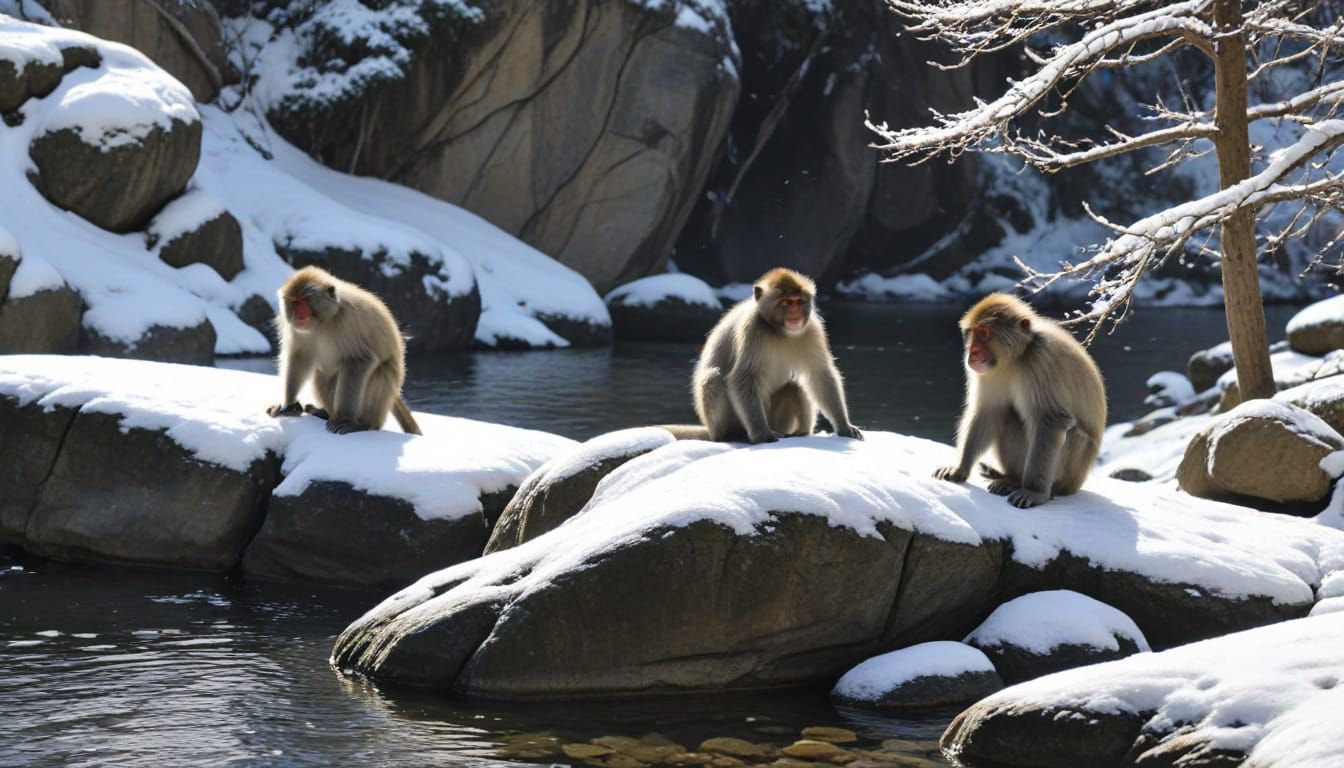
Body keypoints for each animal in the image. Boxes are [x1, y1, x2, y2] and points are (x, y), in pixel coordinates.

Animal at [266, 266, 422, 436]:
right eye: (294, 302)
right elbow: (300, 356)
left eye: (304, 302)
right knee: (321, 374)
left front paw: (345, 419)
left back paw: (364, 424)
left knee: (381, 372)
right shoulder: (298, 329)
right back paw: (323, 412)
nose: (298, 314)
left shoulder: (348, 321)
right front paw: (289, 404)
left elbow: (360, 360)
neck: (323, 321)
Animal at [692, 267, 862, 444]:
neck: (778, 331)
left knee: (795, 387)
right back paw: (730, 435)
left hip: (778, 421)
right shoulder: (753, 329)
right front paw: (761, 433)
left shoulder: (812, 329)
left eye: (799, 302)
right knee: (713, 378)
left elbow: (820, 373)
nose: (795, 312)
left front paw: (844, 426)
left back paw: (801, 432)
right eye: (786, 302)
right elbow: (743, 377)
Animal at [933, 293, 1106, 508]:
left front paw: (1034, 492)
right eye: (972, 334)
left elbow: (1051, 421)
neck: (1017, 358)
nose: (972, 353)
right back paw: (1011, 479)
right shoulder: (989, 372)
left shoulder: (1041, 360)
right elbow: (987, 412)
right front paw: (960, 469)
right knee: (1006, 415)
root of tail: (1077, 483)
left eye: (984, 333)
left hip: (1071, 471)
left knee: (1070, 431)